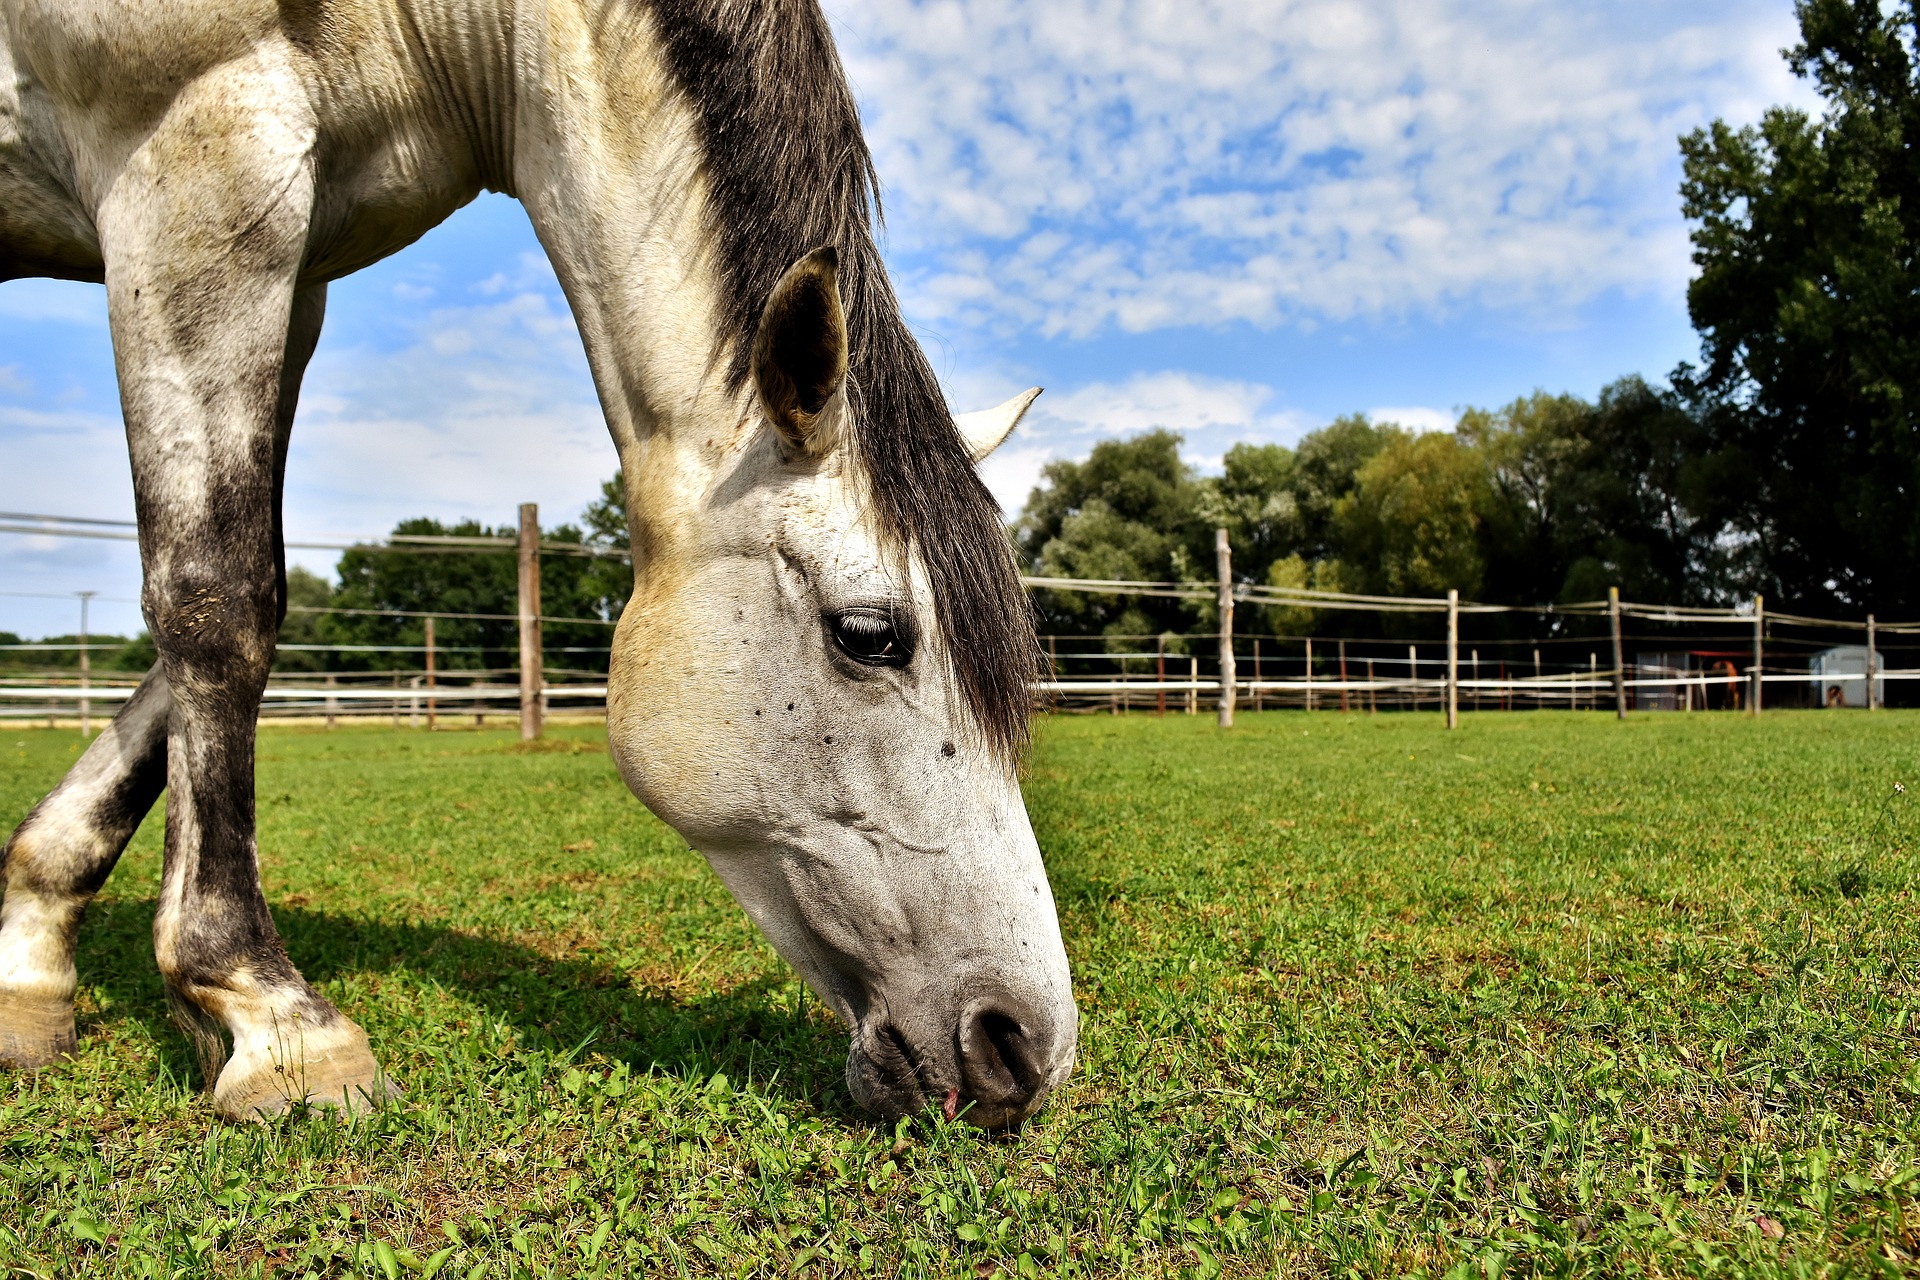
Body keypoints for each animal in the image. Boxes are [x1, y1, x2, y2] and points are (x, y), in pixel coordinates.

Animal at [0, 0, 1082, 1128]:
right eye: (869, 635)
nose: (1024, 1044)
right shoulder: (192, 158)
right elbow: (218, 595)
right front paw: (273, 1016)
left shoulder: (292, 268)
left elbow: (212, 623)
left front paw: (31, 955)